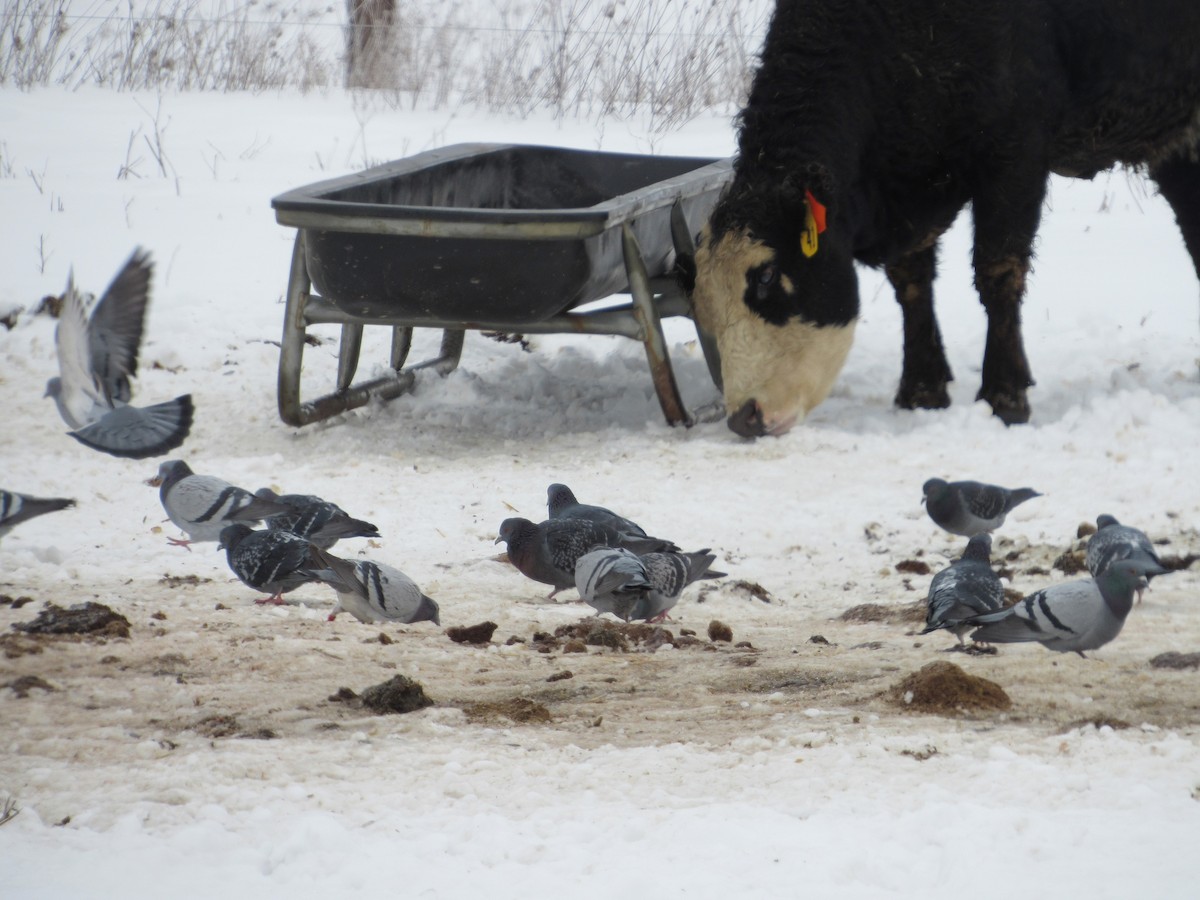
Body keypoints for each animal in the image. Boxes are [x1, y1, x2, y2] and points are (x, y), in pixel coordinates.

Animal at [691, 0, 1200, 436]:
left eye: (767, 277)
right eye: (703, 299)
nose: (743, 417)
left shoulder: (1014, 156)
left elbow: (998, 273)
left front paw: (1004, 396)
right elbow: (912, 282)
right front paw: (921, 390)